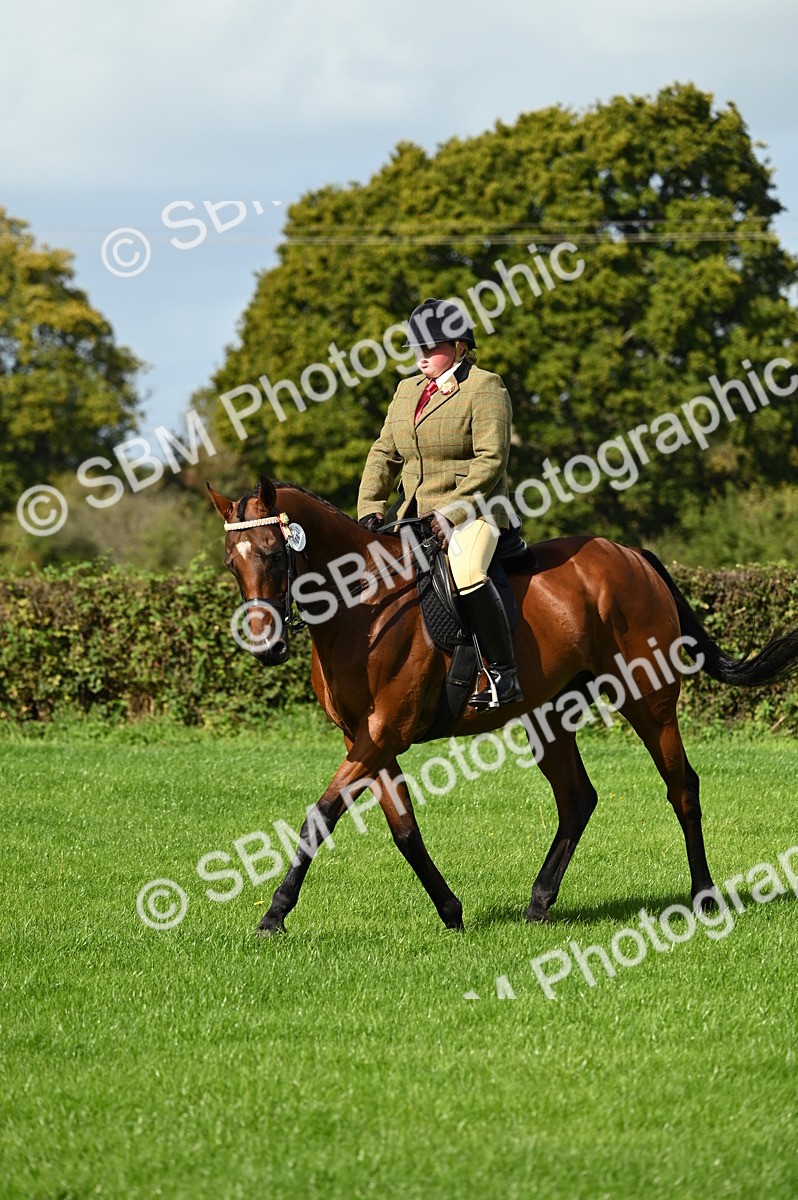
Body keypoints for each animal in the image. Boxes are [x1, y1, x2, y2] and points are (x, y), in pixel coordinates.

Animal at [207, 477, 798, 935]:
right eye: (232, 564)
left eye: (274, 554)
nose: (267, 647)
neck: (365, 607)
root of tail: (632, 556)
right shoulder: (366, 738)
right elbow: (404, 830)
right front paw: (450, 911)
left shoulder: (385, 732)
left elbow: (320, 815)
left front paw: (274, 915)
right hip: (548, 714)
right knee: (577, 799)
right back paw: (539, 904)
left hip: (647, 700)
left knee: (681, 787)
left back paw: (703, 896)